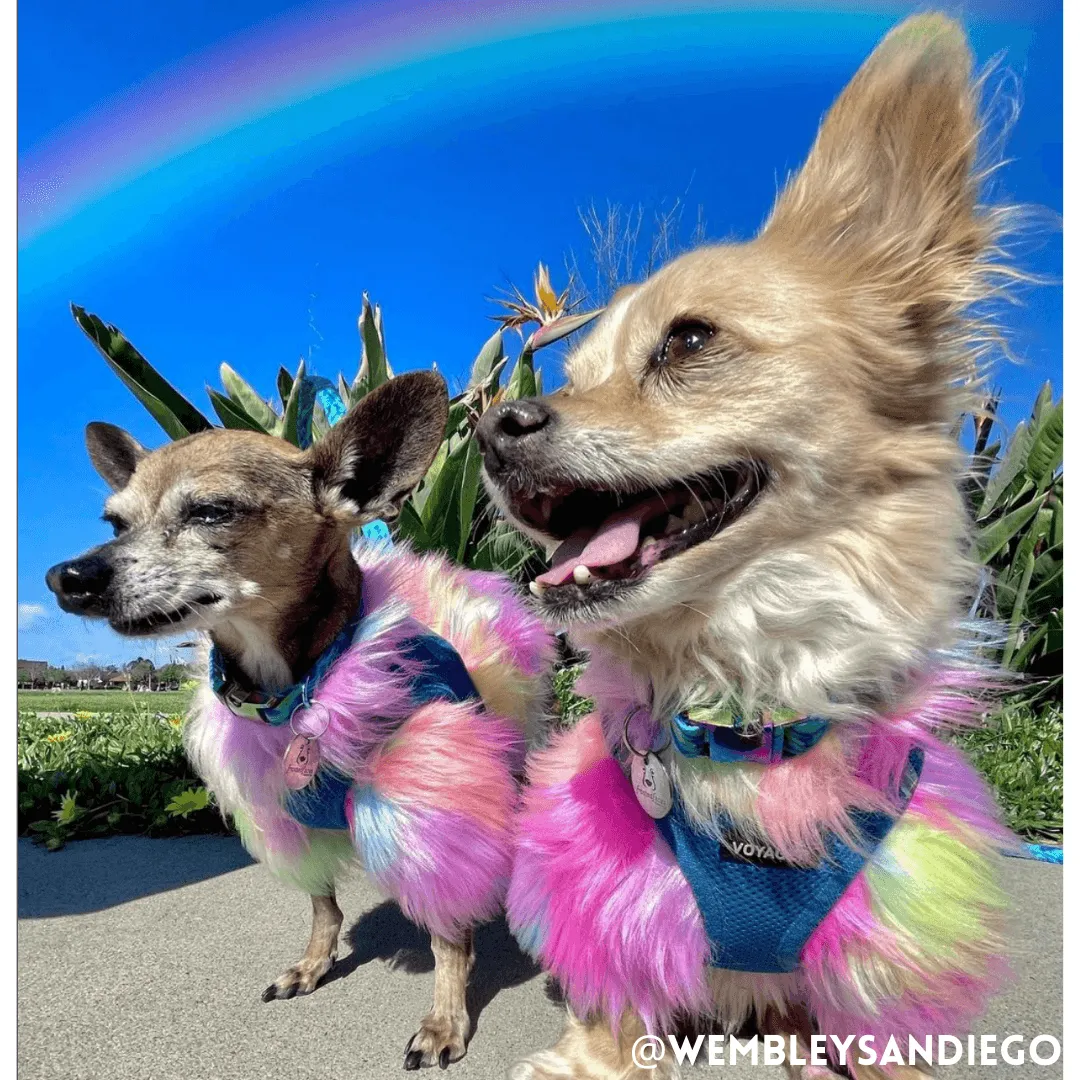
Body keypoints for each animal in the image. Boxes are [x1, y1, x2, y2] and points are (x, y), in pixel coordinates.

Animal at [479, 14, 1019, 1080]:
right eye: (573, 372)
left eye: (690, 341)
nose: (487, 425)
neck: (742, 699)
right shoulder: (619, 921)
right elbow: (607, 1031)